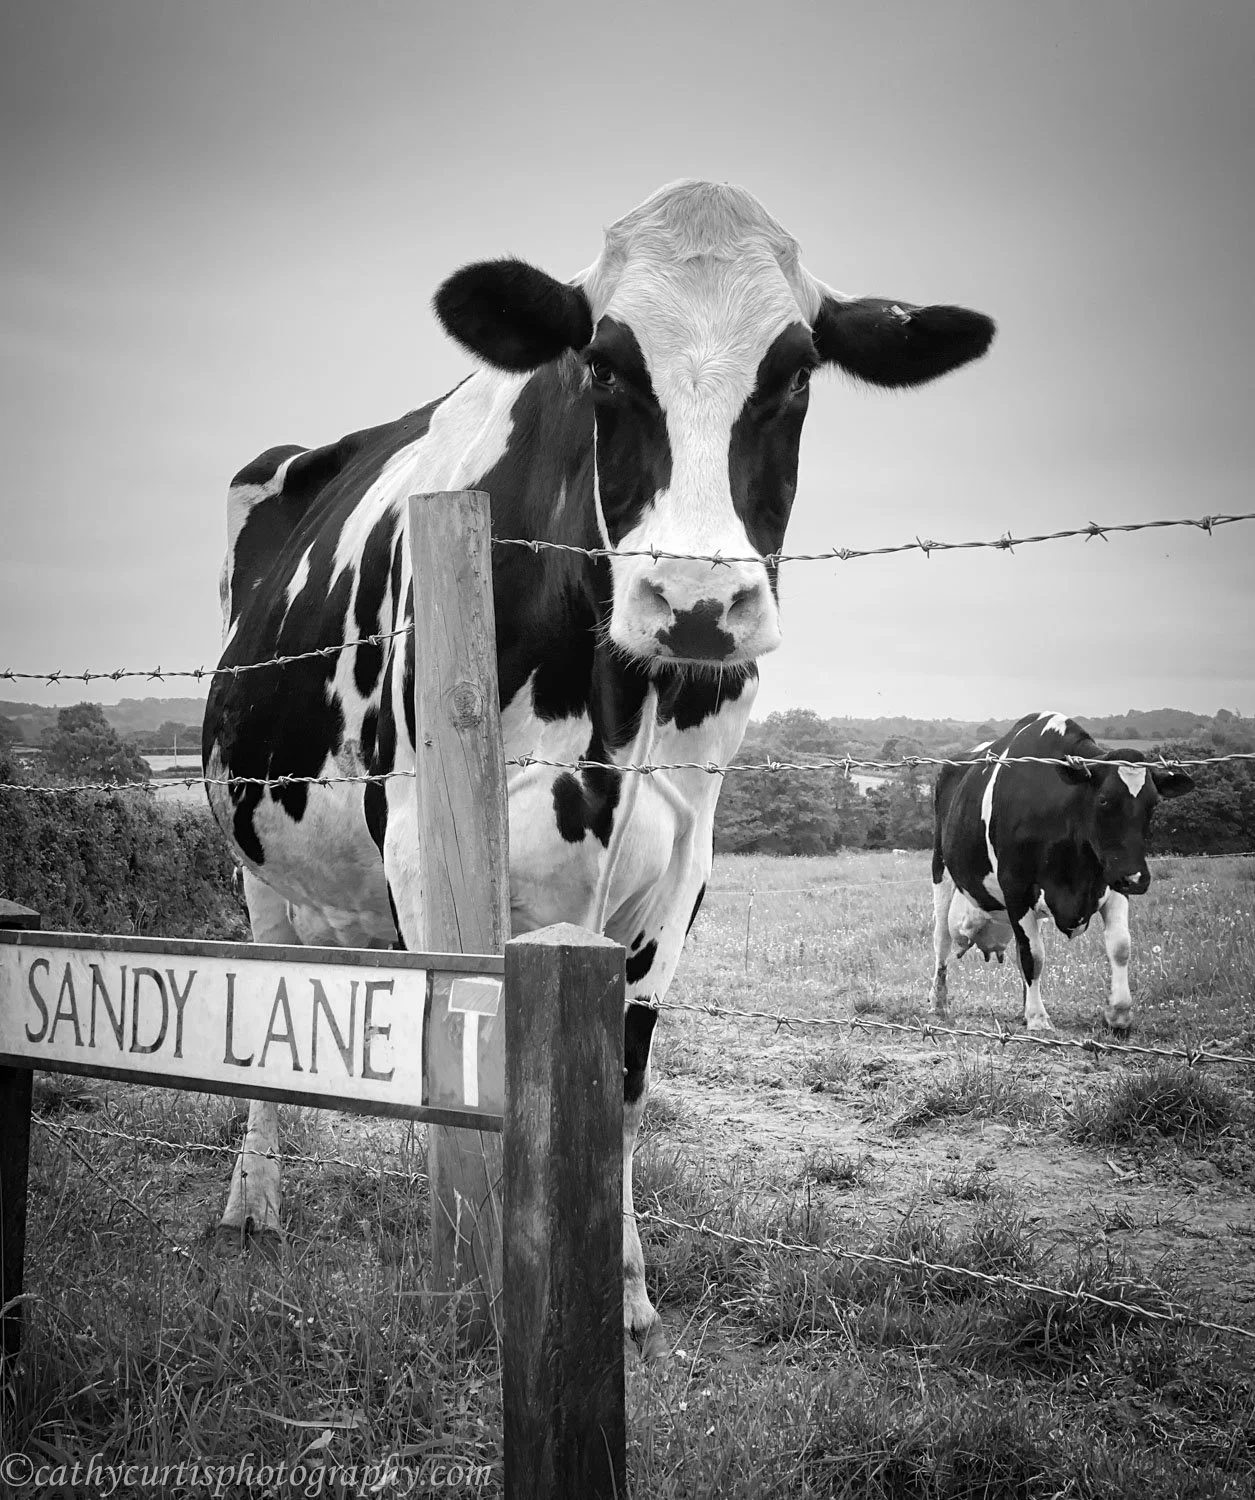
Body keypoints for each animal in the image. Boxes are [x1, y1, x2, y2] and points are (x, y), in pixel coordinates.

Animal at [202, 179, 995, 1354]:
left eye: (796, 374)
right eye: (606, 367)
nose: (699, 603)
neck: (615, 710)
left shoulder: (679, 863)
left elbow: (616, 1078)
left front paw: (618, 1291)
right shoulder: (426, 853)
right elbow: (459, 1058)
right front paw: (478, 1286)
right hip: (259, 857)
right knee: (266, 1006)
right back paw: (253, 1203)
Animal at [929, 712, 1194, 1034]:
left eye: (1153, 803)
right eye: (1104, 799)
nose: (1136, 879)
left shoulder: (1112, 884)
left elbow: (1120, 946)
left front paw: (1119, 1014)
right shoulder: (1016, 888)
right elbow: (1033, 955)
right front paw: (1038, 1019)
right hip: (941, 872)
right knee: (941, 941)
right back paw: (939, 1003)